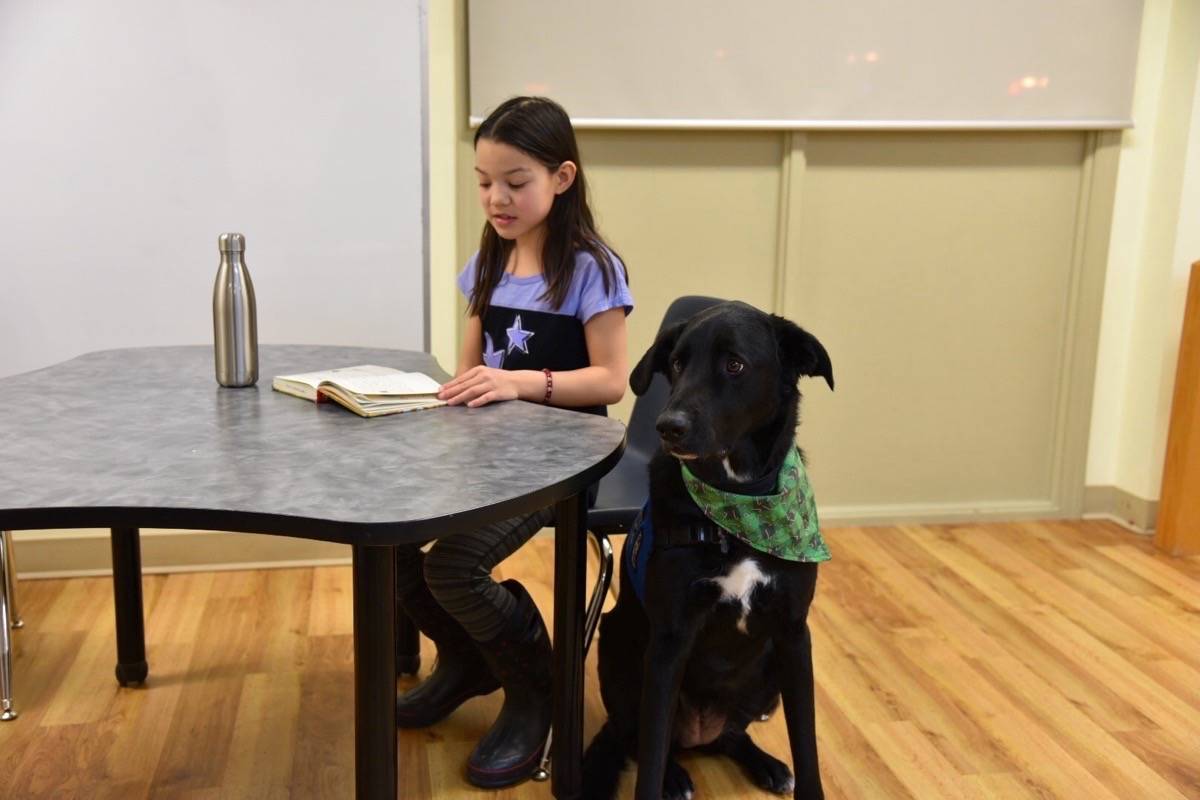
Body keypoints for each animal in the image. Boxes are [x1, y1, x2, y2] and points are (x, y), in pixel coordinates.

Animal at [583, 302, 835, 800]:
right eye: (678, 364)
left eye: (734, 364)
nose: (667, 427)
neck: (739, 508)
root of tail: (700, 732)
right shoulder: (669, 642)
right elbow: (651, 750)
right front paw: (659, 779)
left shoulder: (794, 634)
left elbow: (807, 740)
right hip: (617, 643)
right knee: (639, 737)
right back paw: (675, 776)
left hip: (768, 673)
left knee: (732, 736)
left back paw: (766, 763)